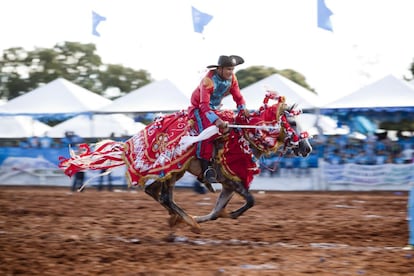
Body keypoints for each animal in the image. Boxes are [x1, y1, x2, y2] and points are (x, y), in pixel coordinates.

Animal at [58, 92, 310, 233]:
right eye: (293, 123)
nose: (308, 149)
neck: (245, 135)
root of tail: (130, 143)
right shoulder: (232, 180)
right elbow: (250, 201)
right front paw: (214, 218)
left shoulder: (229, 184)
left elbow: (218, 211)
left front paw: (207, 216)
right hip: (172, 170)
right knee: (162, 196)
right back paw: (188, 222)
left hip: (172, 173)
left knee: (156, 194)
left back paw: (180, 219)